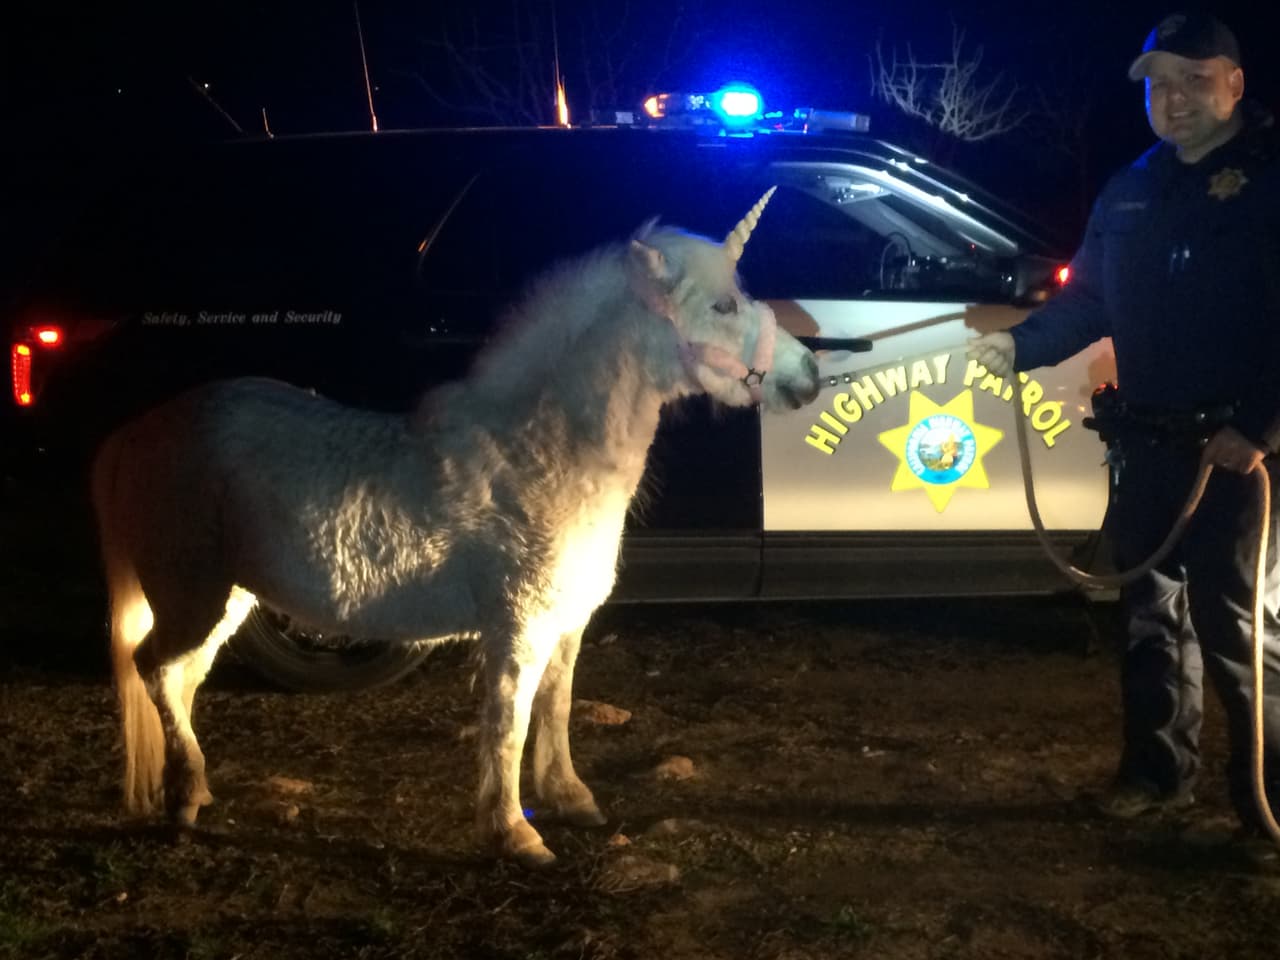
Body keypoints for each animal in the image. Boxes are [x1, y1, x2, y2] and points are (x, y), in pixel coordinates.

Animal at [90, 189, 820, 866]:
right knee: (154, 668)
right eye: (722, 306)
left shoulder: (566, 623)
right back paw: (184, 798)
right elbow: (509, 724)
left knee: (182, 679)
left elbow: (556, 706)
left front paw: (569, 799)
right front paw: (514, 833)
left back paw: (194, 788)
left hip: (229, 599)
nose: (809, 375)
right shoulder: (518, 627)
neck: (537, 452)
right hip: (194, 595)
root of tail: (138, 430)